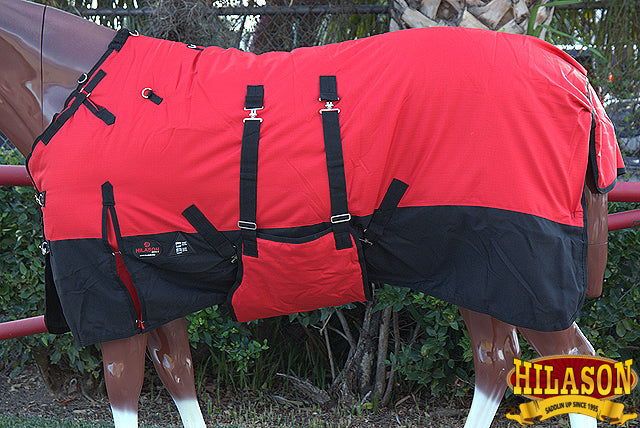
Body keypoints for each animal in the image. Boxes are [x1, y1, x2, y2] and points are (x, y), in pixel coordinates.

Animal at [0, 1, 616, 427]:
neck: (73, 92)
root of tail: (572, 72)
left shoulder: (109, 291)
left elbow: (125, 389)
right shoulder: (150, 286)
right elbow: (178, 377)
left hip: (523, 267)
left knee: (570, 362)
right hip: (478, 268)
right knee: (496, 359)